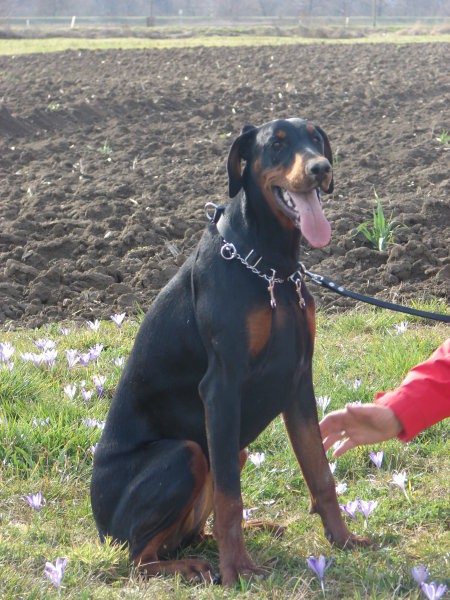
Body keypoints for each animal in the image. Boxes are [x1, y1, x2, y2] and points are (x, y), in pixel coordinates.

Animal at [91, 117, 370, 584]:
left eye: (316, 138)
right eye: (277, 145)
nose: (321, 168)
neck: (271, 265)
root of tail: (99, 528)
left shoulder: (298, 378)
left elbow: (320, 473)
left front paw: (345, 540)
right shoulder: (221, 386)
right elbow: (229, 499)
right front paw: (237, 568)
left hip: (230, 448)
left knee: (184, 534)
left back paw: (248, 531)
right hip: (188, 452)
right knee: (139, 558)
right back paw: (193, 566)